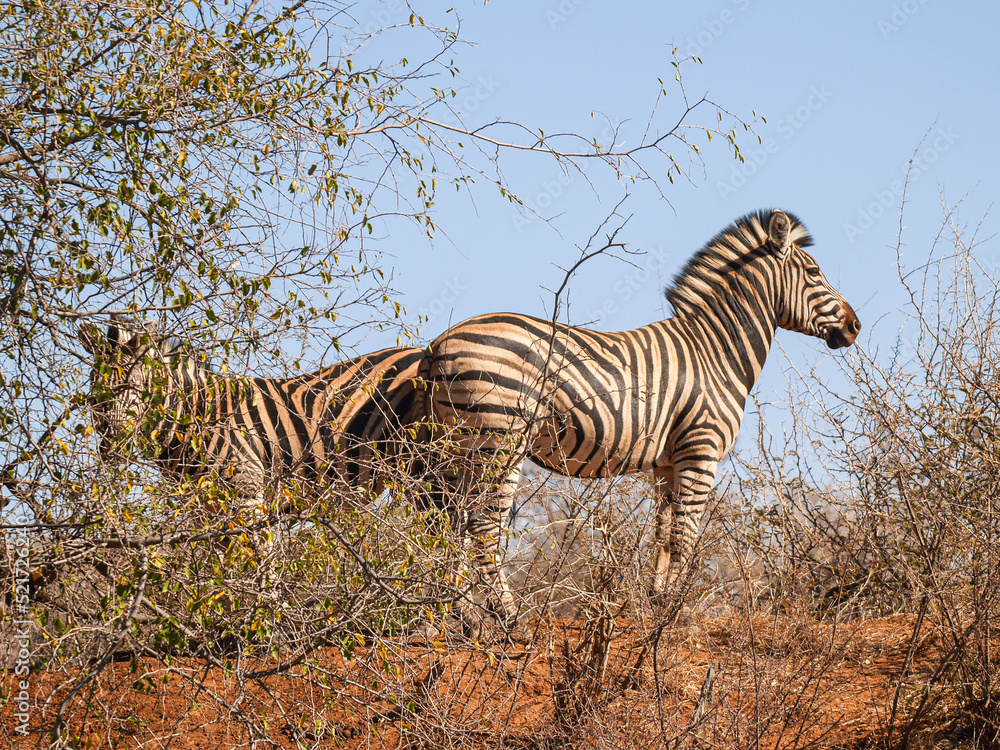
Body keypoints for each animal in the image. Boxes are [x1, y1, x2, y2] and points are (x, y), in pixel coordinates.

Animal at [421, 209, 861, 621]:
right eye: (814, 272)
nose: (855, 326)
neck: (715, 352)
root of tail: (437, 344)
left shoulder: (667, 462)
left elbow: (662, 535)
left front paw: (657, 604)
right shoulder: (701, 451)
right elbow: (685, 537)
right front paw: (676, 611)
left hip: (456, 449)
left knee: (450, 523)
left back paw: (458, 617)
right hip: (499, 442)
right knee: (482, 526)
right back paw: (507, 617)